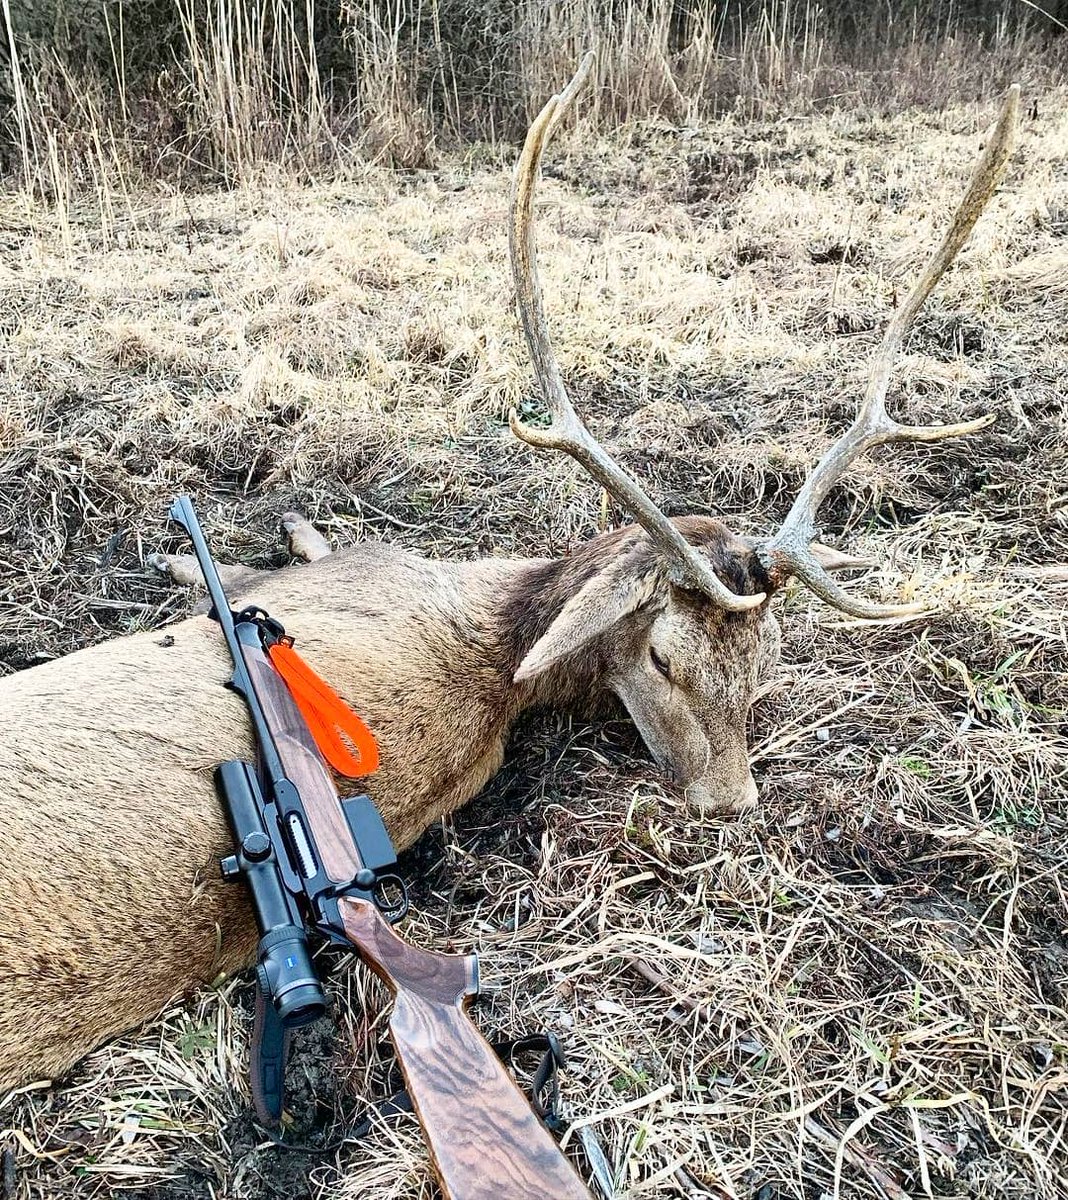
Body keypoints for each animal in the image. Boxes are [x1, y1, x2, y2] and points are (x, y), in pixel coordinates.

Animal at [0, 68, 1018, 1095]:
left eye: (764, 664)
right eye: (665, 658)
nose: (731, 803)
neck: (492, 622)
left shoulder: (333, 580)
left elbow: (271, 558)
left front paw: (225, 538)